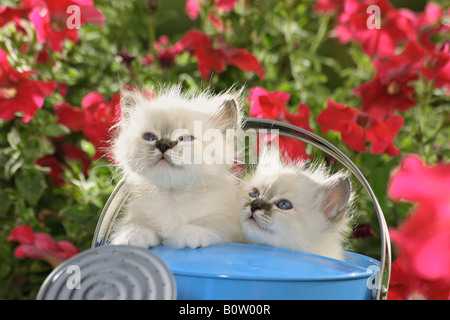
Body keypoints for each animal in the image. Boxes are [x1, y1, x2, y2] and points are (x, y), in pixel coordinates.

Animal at [109, 85, 246, 250]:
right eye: (150, 137)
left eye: (186, 139)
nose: (163, 145)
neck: (172, 196)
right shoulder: (136, 212)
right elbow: (133, 222)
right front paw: (134, 235)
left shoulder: (233, 225)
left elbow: (214, 223)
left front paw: (191, 234)